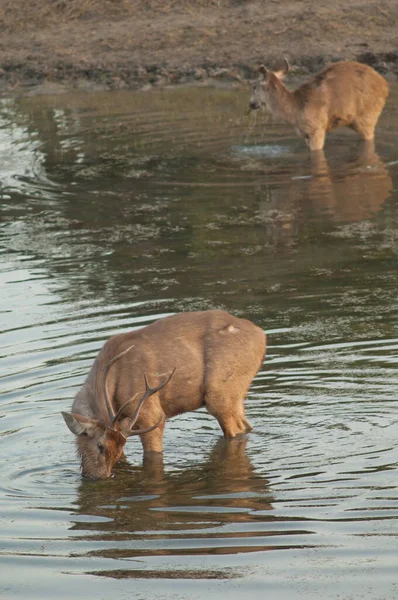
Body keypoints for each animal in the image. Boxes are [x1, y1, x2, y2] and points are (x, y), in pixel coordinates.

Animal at [62, 312, 266, 480]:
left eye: (100, 445)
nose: (96, 477)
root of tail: (261, 335)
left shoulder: (150, 414)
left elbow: (153, 454)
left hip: (219, 392)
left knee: (235, 430)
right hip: (236, 395)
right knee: (247, 425)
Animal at [249, 59, 388, 151]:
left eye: (254, 86)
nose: (251, 104)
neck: (295, 110)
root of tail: (385, 85)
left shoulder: (317, 128)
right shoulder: (305, 134)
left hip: (368, 116)